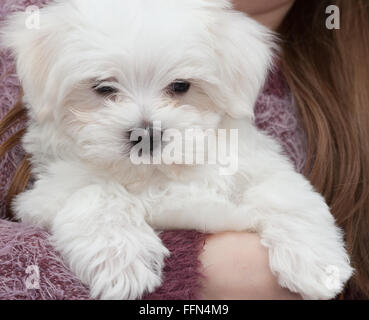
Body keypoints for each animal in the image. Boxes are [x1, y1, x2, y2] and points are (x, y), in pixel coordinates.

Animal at [3, 0, 354, 300]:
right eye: (103, 88)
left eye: (181, 86)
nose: (146, 134)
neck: (158, 172)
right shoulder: (46, 194)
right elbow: (96, 194)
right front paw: (123, 259)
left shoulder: (256, 164)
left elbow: (285, 194)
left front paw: (316, 262)